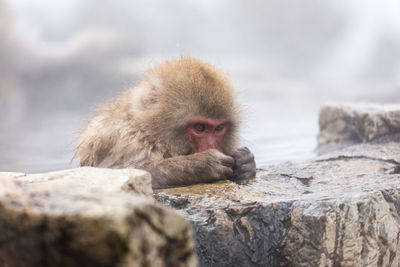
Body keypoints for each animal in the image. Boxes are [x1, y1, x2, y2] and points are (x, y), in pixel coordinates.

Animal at [74, 58, 256, 188]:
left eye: (219, 128)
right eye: (199, 127)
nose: (213, 147)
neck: (147, 131)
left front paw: (245, 161)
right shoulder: (126, 141)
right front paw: (199, 164)